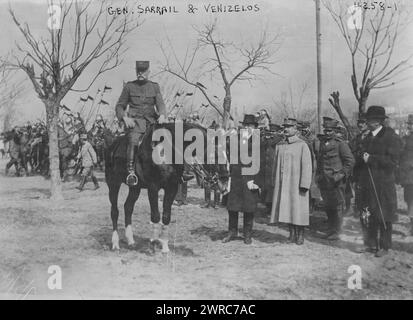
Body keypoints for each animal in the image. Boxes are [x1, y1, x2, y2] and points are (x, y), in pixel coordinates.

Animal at [104, 122, 225, 252]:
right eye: (215, 155)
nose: (222, 184)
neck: (166, 151)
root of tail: (112, 145)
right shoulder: (153, 187)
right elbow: (156, 216)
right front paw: (153, 243)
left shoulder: (172, 188)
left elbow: (166, 216)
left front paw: (165, 247)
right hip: (113, 184)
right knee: (114, 211)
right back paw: (115, 243)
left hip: (135, 188)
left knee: (128, 207)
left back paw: (131, 241)